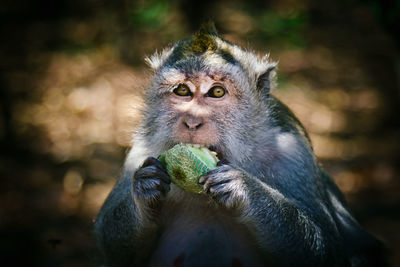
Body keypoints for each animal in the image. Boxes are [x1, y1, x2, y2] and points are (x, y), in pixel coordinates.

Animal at [93, 25, 384, 267]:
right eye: (182, 91)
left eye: (217, 92)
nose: (192, 121)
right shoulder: (141, 150)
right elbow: (111, 247)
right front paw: (145, 187)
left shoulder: (292, 151)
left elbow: (325, 247)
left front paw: (244, 189)